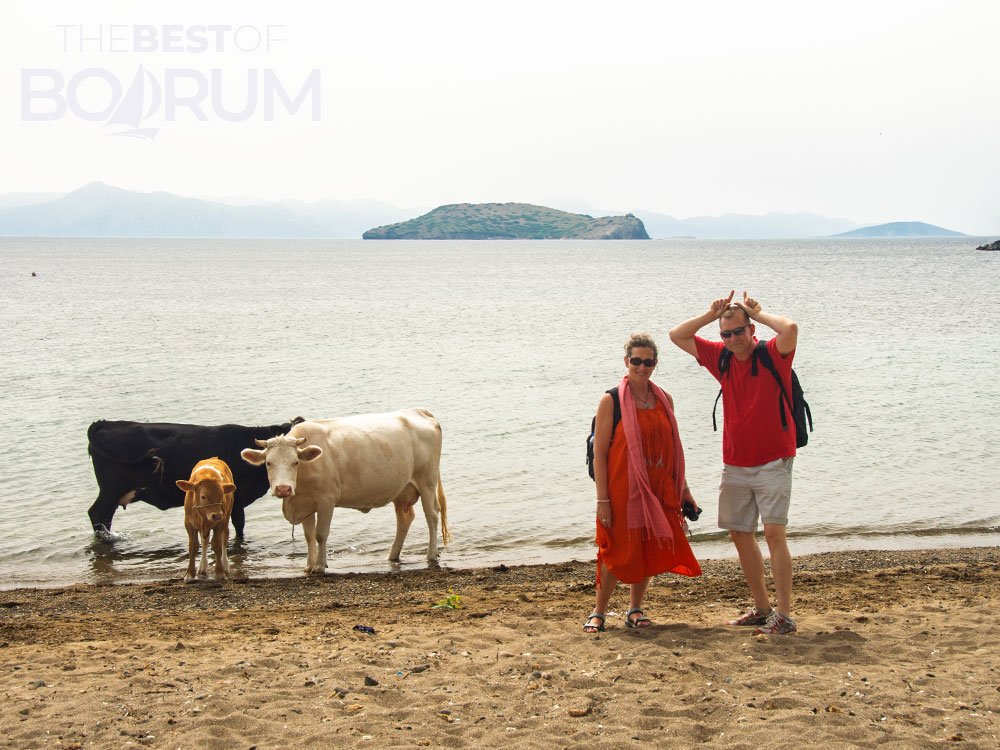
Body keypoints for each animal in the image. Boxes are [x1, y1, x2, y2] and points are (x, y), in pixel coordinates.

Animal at [240, 408, 449, 575]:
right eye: (268, 463)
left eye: (295, 462)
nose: (283, 488)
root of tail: (419, 411)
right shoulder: (306, 503)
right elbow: (308, 536)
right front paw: (309, 565)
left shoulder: (326, 500)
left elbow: (320, 534)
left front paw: (320, 566)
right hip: (402, 489)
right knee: (404, 519)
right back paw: (392, 556)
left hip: (426, 481)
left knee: (432, 515)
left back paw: (431, 554)